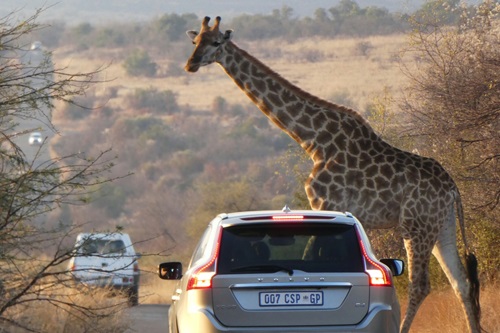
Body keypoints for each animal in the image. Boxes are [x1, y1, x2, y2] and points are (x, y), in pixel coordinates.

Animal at [183, 16, 480, 332]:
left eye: (216, 43)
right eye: (195, 41)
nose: (191, 64)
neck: (313, 139)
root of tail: (452, 188)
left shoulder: (326, 204)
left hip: (416, 225)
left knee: (421, 284)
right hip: (442, 224)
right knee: (461, 282)